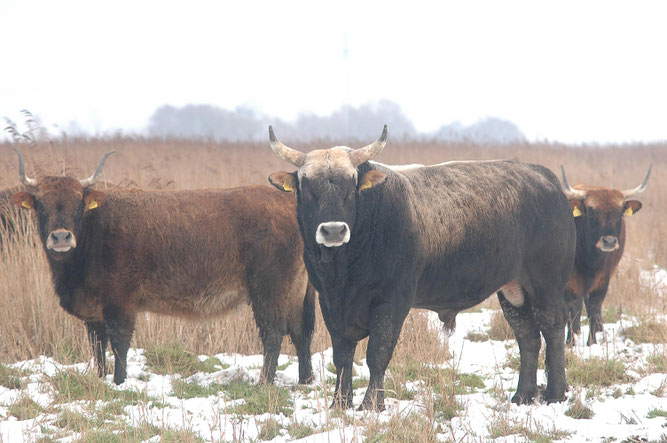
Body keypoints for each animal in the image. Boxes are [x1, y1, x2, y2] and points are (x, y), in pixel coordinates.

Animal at [11, 150, 316, 386]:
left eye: (78, 203)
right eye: (41, 204)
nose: (61, 236)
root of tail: (287, 202)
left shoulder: (120, 304)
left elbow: (120, 345)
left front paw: (119, 382)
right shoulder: (94, 314)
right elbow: (98, 348)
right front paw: (99, 379)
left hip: (269, 290)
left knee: (274, 333)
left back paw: (264, 382)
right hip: (296, 291)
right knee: (301, 332)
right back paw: (306, 380)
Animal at [266, 125, 576, 410]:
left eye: (350, 188)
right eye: (308, 188)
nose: (333, 230)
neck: (344, 268)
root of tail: (544, 178)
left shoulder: (392, 302)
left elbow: (377, 354)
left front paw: (372, 404)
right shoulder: (331, 304)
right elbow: (342, 356)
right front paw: (340, 403)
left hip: (546, 284)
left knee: (553, 327)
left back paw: (555, 393)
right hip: (513, 291)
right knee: (527, 336)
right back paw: (523, 395)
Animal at [560, 166, 652, 346]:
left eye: (620, 213)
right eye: (592, 212)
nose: (609, 241)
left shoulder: (603, 278)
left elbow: (594, 307)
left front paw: (592, 342)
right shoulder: (568, 281)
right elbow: (570, 308)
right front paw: (570, 342)